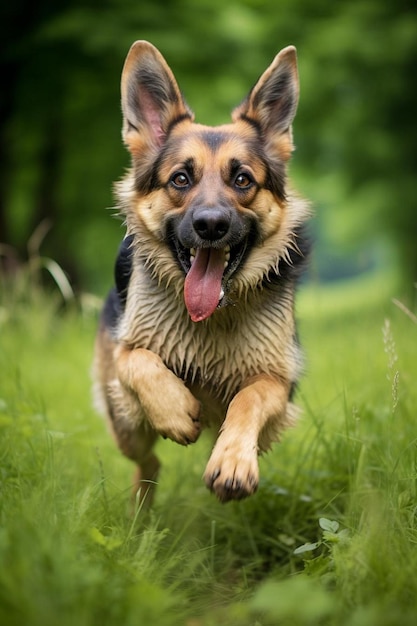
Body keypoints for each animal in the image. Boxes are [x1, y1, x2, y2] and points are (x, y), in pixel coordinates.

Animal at [93, 40, 308, 502]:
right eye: (180, 179)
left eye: (243, 179)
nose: (211, 225)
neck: (210, 319)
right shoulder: (127, 352)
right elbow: (137, 358)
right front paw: (175, 411)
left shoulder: (278, 380)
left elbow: (250, 397)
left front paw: (233, 463)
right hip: (127, 426)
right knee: (147, 460)